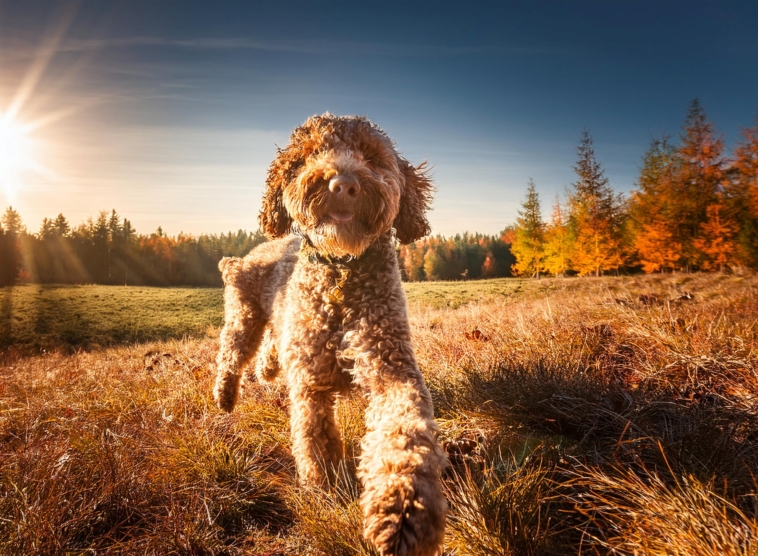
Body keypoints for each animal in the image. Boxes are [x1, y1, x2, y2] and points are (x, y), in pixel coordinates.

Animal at [214, 114, 448, 556]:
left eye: (371, 155)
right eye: (309, 155)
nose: (343, 184)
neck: (341, 270)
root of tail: (248, 255)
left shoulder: (391, 367)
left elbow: (404, 430)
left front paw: (402, 505)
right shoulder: (312, 383)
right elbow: (314, 441)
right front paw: (324, 491)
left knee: (268, 348)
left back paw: (267, 370)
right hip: (243, 319)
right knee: (231, 355)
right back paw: (225, 394)